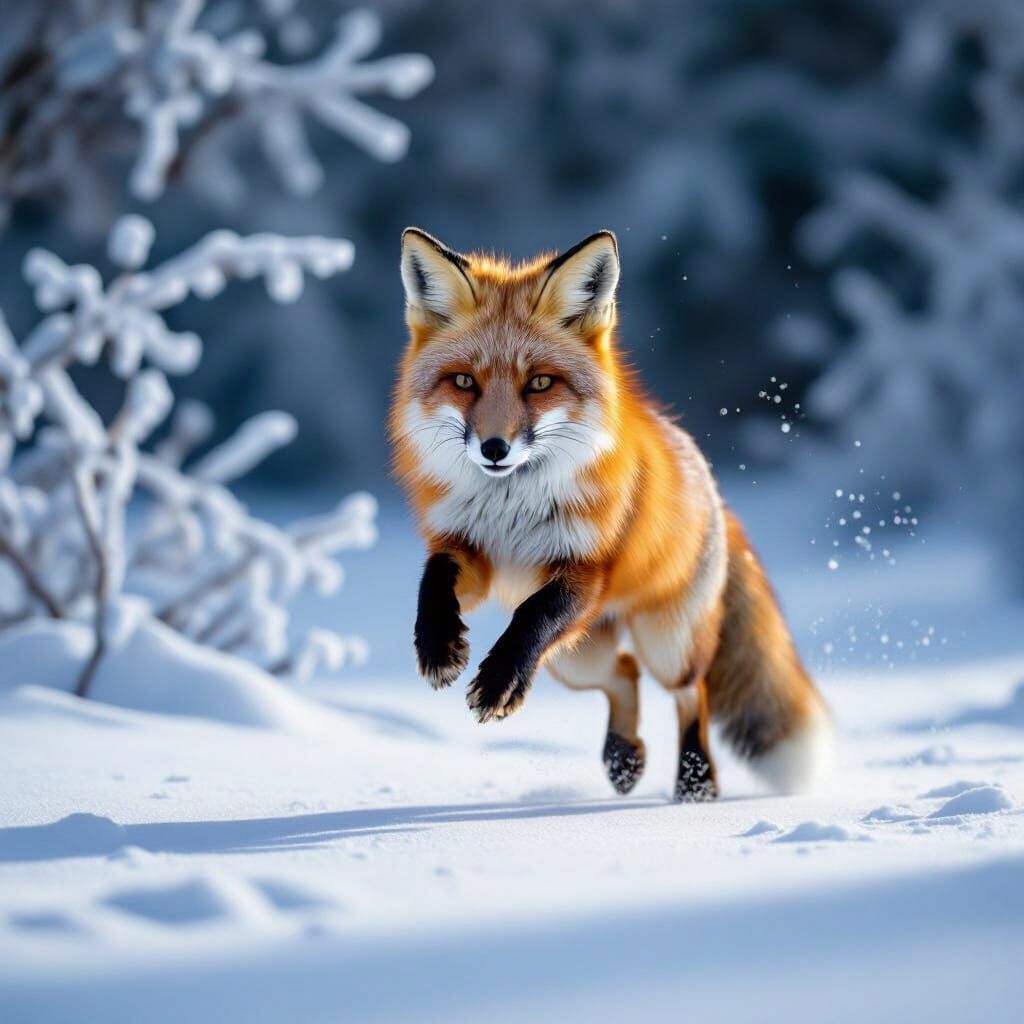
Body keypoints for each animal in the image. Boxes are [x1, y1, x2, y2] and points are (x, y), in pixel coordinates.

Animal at [390, 227, 833, 801]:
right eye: (464, 382)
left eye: (540, 383)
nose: (494, 448)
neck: (512, 508)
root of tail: (711, 487)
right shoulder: (472, 551)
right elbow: (434, 582)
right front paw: (438, 646)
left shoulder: (587, 569)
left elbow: (533, 616)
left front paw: (499, 682)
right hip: (576, 659)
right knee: (623, 672)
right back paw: (624, 756)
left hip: (665, 643)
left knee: (691, 690)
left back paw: (695, 781)